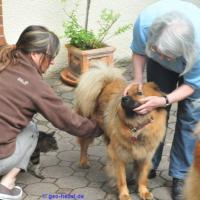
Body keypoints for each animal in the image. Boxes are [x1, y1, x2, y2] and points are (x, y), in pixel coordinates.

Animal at [75, 64, 167, 200]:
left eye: (139, 93)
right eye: (127, 93)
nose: (124, 98)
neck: (137, 126)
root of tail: (106, 82)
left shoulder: (145, 155)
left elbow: (142, 177)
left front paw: (143, 191)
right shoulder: (119, 155)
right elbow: (121, 178)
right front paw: (124, 194)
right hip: (88, 126)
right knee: (84, 145)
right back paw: (83, 161)